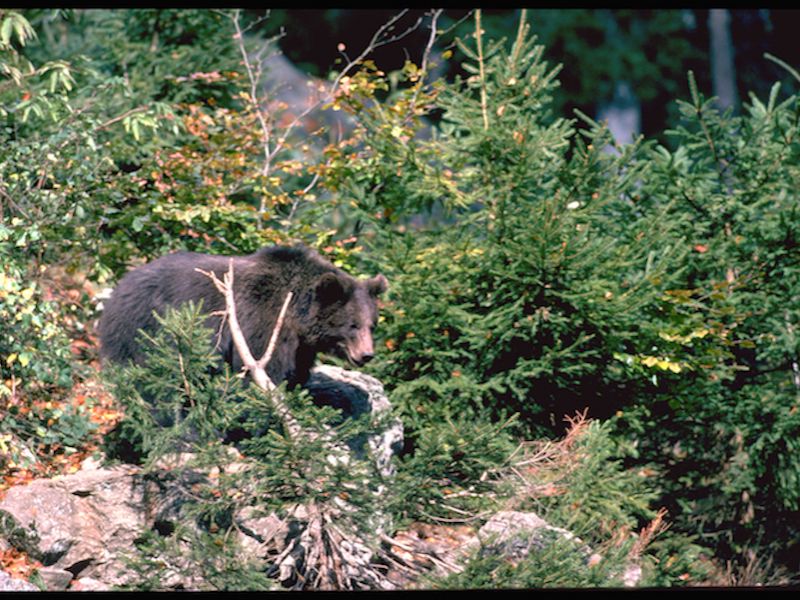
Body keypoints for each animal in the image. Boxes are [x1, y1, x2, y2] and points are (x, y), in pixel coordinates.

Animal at [98, 244, 388, 388]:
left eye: (372, 325)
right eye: (352, 325)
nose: (366, 354)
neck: (296, 314)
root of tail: (117, 289)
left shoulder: (300, 346)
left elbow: (295, 373)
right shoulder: (262, 320)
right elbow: (262, 368)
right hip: (142, 329)